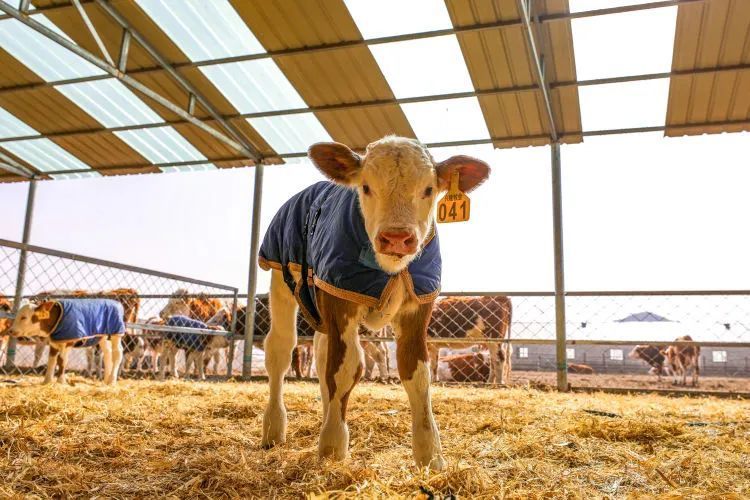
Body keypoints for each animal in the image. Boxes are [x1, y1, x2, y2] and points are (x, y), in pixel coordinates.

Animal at [258, 136, 494, 468]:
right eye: (366, 187)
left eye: (429, 189)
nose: (396, 238)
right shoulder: (340, 298)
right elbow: (345, 369)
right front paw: (332, 447)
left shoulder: (417, 305)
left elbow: (416, 373)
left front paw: (430, 455)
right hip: (281, 275)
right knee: (280, 349)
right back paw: (274, 429)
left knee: (322, 352)